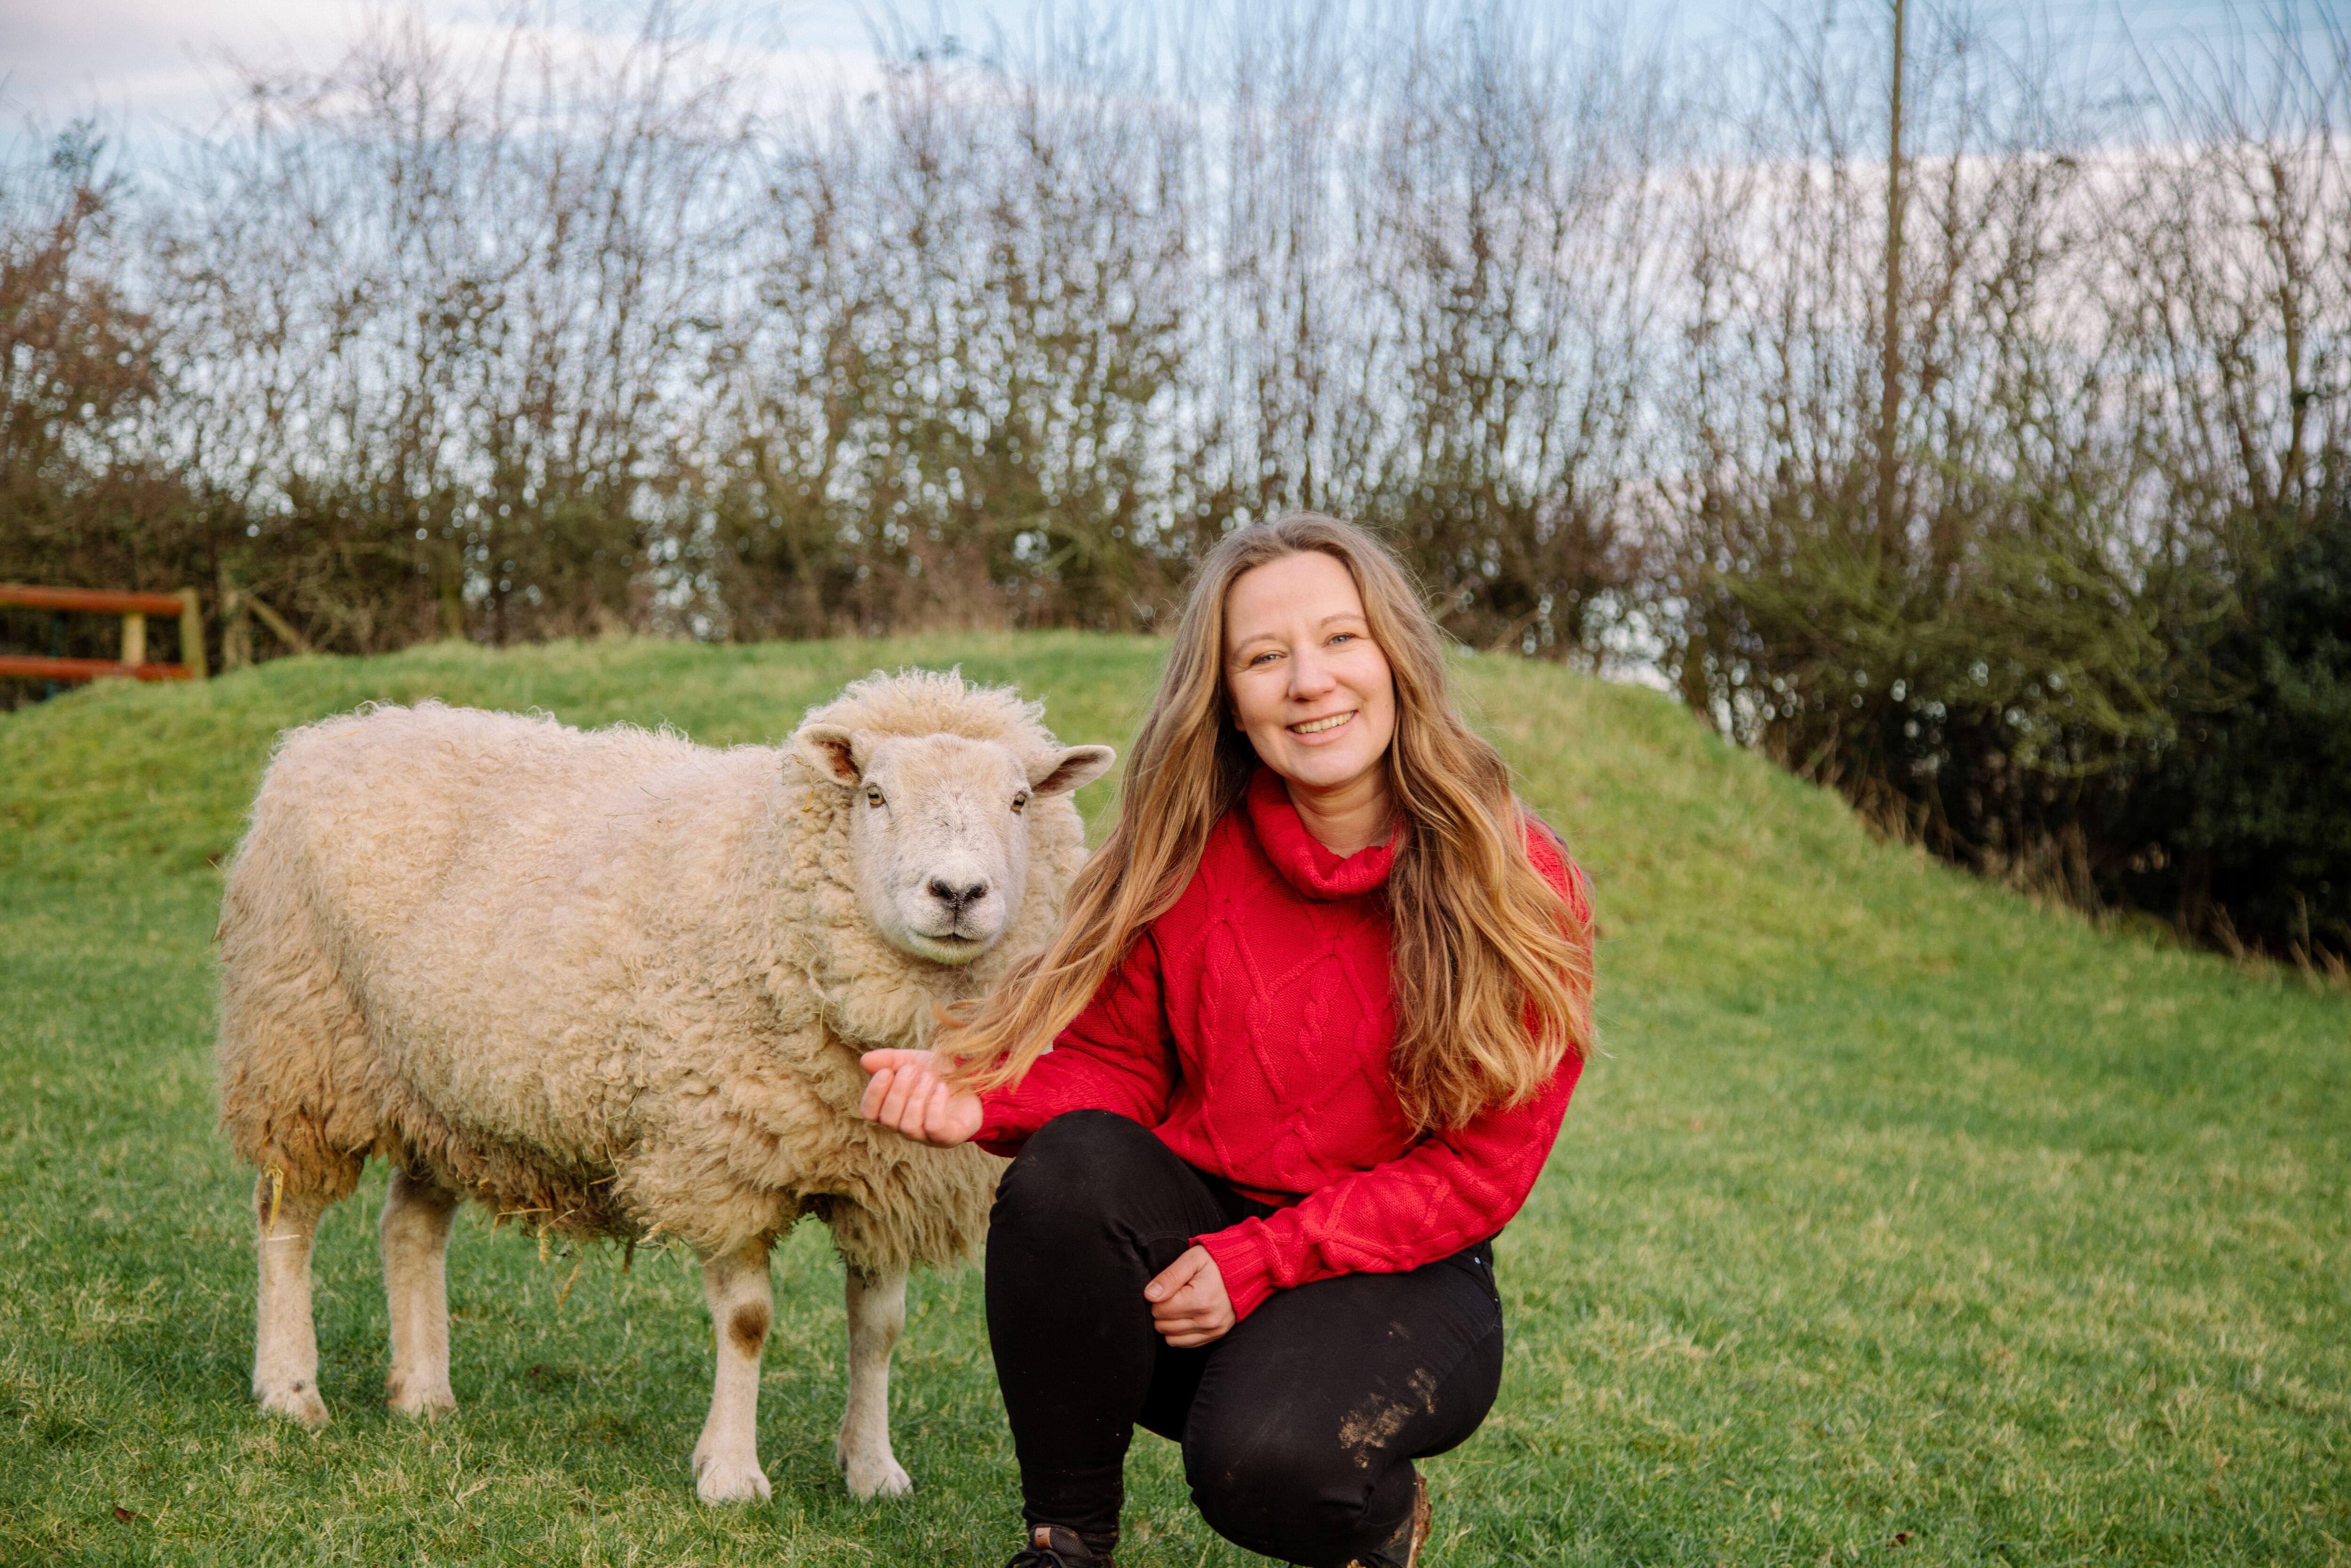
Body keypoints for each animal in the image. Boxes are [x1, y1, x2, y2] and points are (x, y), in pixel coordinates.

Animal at [213, 670, 1113, 1503]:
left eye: (1021, 800)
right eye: (876, 795)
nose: (958, 894)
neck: (766, 879)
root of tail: (333, 735)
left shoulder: (891, 1174)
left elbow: (881, 1327)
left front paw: (871, 1469)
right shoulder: (722, 1155)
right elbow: (748, 1323)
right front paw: (731, 1475)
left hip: (440, 1085)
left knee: (410, 1226)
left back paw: (423, 1393)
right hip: (302, 1051)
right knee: (285, 1215)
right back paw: (291, 1390)